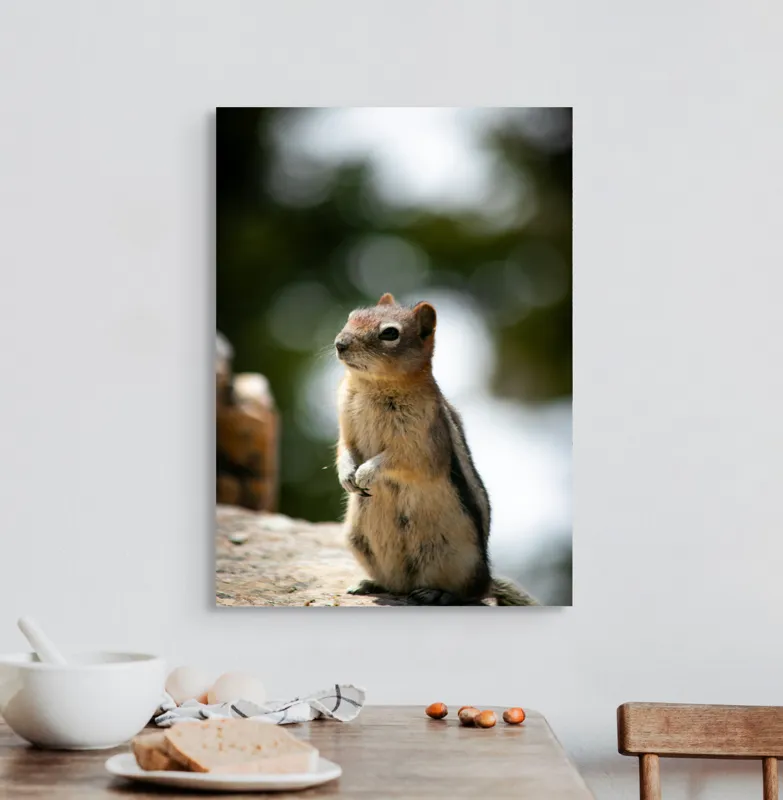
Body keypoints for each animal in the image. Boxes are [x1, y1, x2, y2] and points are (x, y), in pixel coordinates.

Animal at [334, 292, 538, 606]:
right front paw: (347, 475)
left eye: (390, 333)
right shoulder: (346, 427)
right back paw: (368, 583)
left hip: (454, 557)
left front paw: (366, 472)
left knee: (466, 594)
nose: (339, 343)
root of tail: (487, 580)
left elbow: (402, 460)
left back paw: (436, 593)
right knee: (395, 585)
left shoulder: (421, 442)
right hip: (357, 540)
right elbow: (344, 449)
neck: (373, 386)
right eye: (352, 316)